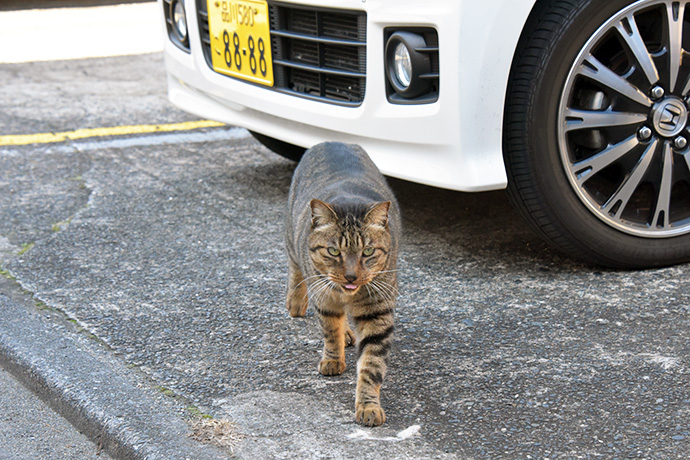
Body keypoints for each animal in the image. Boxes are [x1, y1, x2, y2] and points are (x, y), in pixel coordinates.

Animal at [284, 142, 400, 426]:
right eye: (334, 251)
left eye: (368, 252)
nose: (350, 276)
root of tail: (332, 142)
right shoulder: (324, 298)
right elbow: (329, 331)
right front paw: (333, 359)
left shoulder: (378, 312)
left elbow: (371, 366)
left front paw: (368, 406)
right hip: (292, 236)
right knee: (294, 266)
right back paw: (296, 301)